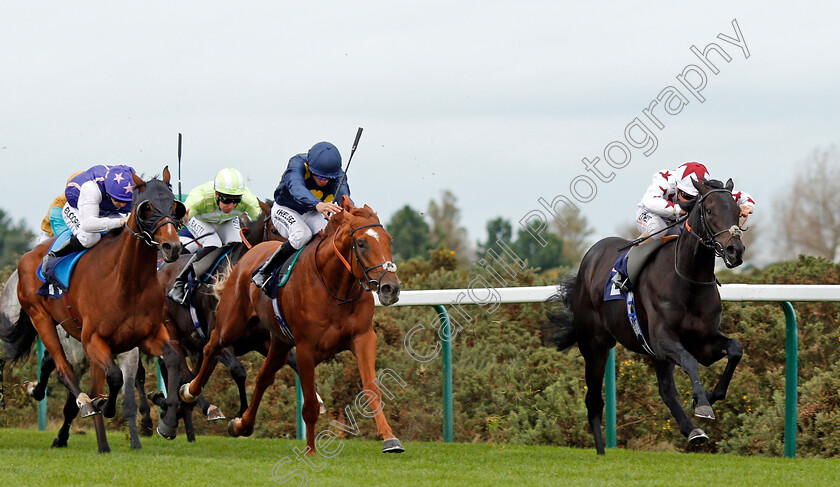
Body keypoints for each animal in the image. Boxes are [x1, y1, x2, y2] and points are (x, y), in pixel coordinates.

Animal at [0, 168, 185, 454]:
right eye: (147, 207)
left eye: (175, 206)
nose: (171, 247)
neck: (127, 282)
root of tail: (29, 256)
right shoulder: (93, 340)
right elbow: (114, 377)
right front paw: (102, 405)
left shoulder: (148, 336)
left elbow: (172, 359)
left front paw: (168, 422)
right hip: (41, 318)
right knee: (62, 369)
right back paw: (83, 402)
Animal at [182, 196, 406, 456]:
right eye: (361, 243)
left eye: (389, 240)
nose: (391, 288)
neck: (334, 288)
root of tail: (249, 254)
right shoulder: (306, 349)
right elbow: (309, 404)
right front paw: (310, 451)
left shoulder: (363, 337)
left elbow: (372, 388)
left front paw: (389, 438)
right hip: (230, 325)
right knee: (211, 348)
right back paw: (190, 392)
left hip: (277, 341)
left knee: (263, 377)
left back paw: (241, 425)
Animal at [548, 178, 744, 454]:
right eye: (709, 211)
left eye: (737, 211)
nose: (735, 250)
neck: (688, 280)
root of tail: (590, 256)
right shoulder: (663, 340)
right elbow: (689, 361)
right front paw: (702, 402)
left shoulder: (704, 342)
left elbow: (735, 349)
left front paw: (710, 396)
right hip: (595, 346)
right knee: (593, 400)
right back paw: (601, 451)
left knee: (666, 391)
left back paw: (692, 430)